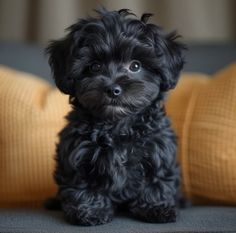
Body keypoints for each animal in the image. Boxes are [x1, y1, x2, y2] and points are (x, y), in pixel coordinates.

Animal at [46, 8, 185, 225]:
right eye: (94, 67)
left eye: (135, 66)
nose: (113, 89)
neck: (117, 125)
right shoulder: (78, 155)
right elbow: (83, 185)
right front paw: (90, 211)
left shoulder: (158, 151)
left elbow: (156, 181)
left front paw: (156, 208)